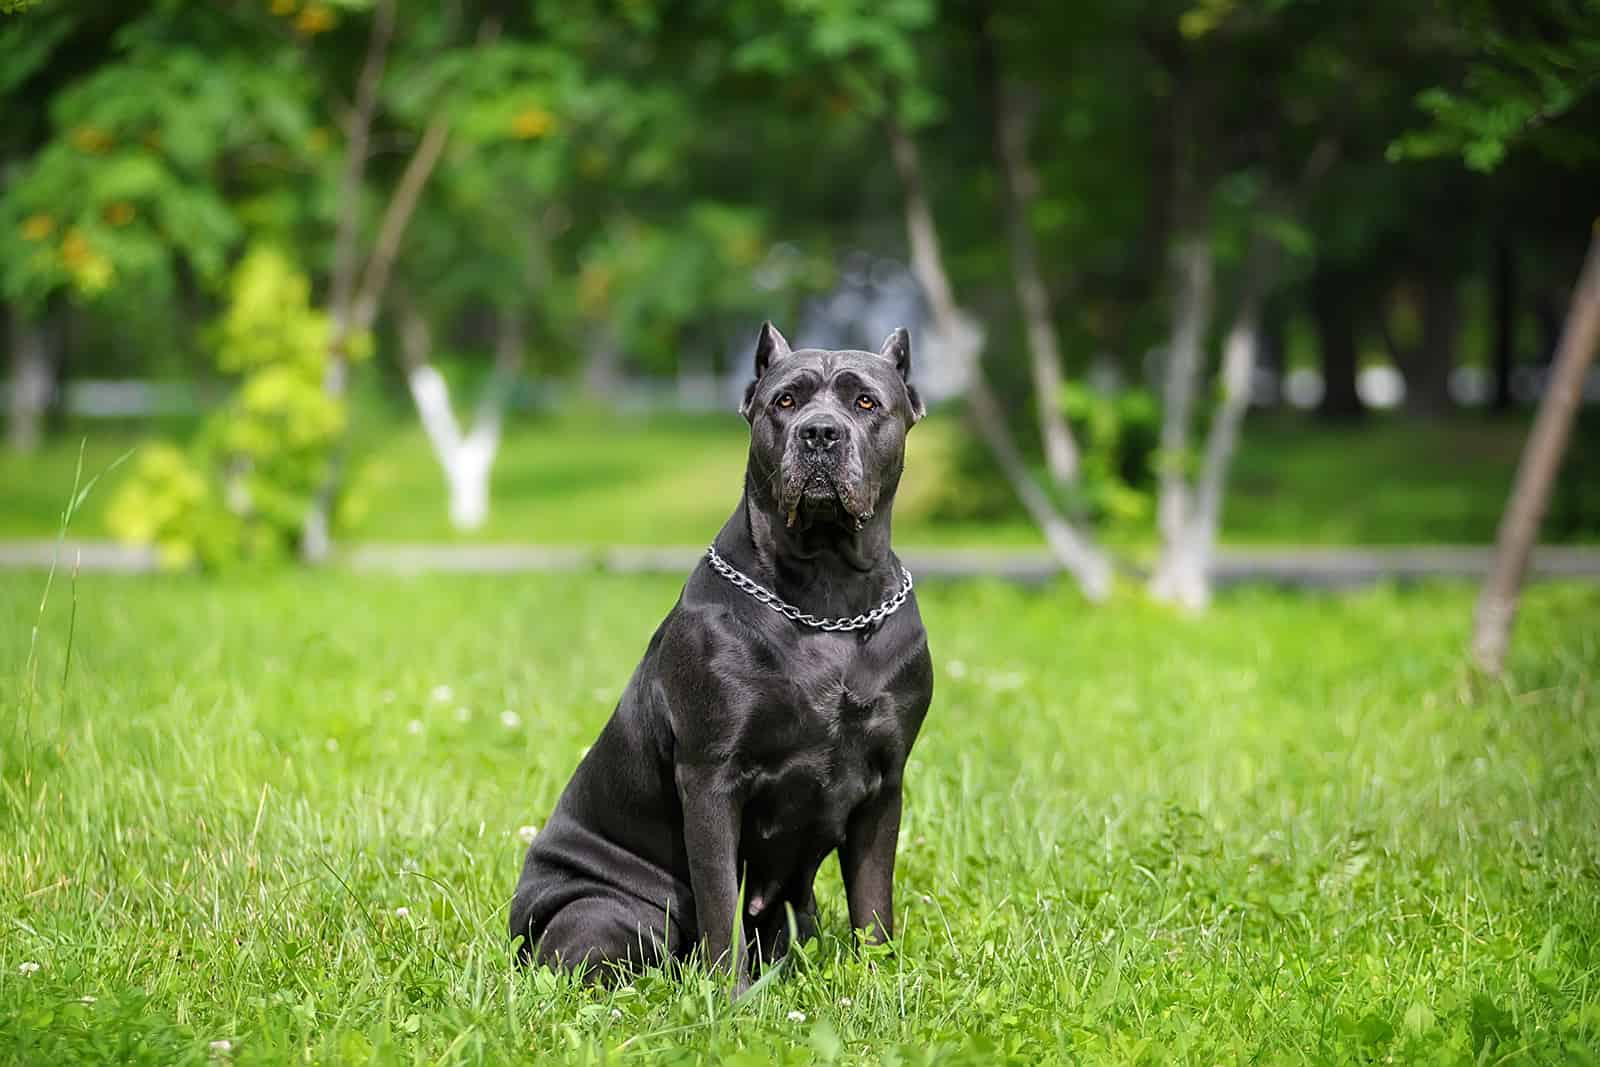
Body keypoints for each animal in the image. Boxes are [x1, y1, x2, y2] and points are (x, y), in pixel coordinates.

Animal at [512, 321, 934, 991]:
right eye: (785, 401)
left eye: (866, 402)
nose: (820, 433)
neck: (827, 598)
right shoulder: (711, 778)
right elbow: (718, 904)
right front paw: (728, 996)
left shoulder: (883, 787)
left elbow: (874, 904)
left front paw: (879, 980)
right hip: (611, 912)